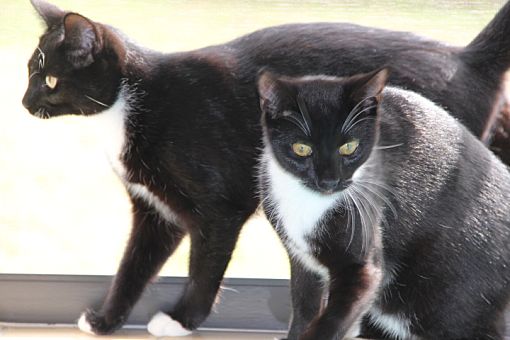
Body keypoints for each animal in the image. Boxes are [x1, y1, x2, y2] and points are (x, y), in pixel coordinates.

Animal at [256, 69, 510, 340]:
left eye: (349, 147)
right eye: (302, 148)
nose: (329, 181)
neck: (311, 200)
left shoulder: (364, 255)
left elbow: (335, 317)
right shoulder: (302, 260)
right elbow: (304, 307)